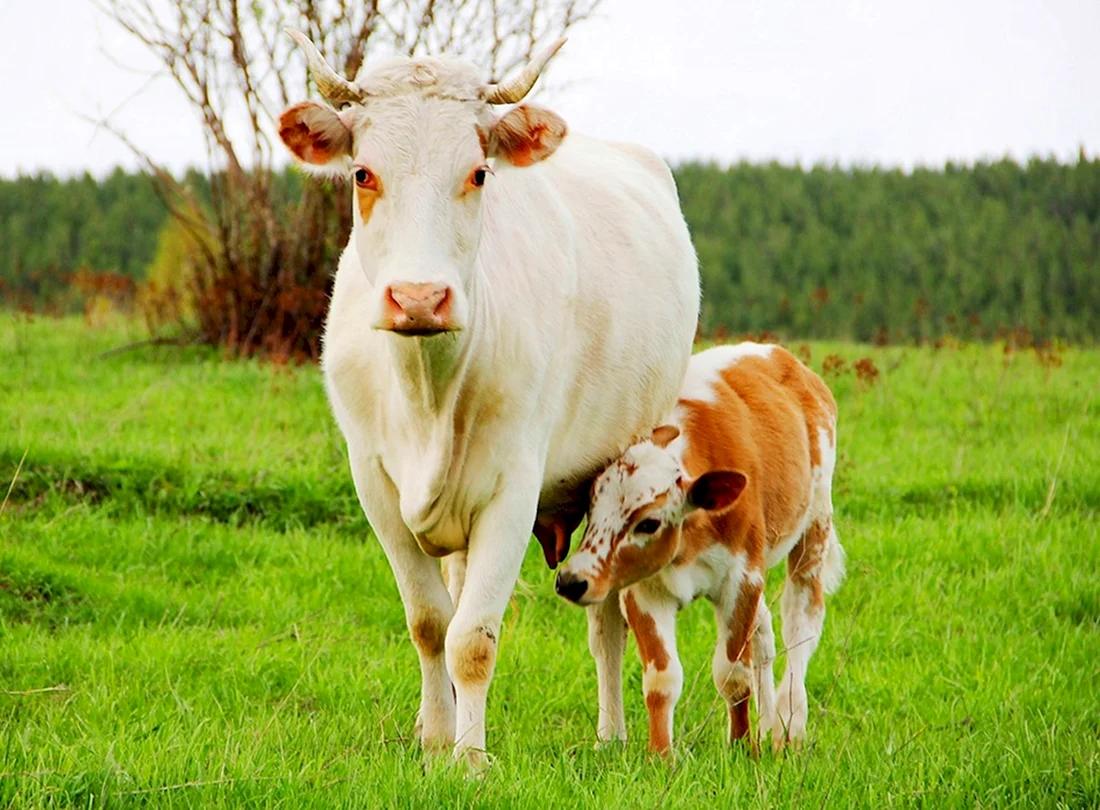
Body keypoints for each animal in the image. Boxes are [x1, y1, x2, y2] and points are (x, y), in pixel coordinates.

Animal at [277, 31, 699, 766]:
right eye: (362, 174)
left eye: (478, 173)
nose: (420, 298)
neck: (427, 391)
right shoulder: (375, 482)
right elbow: (429, 622)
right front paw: (435, 741)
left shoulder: (513, 486)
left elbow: (473, 639)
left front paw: (469, 760)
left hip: (625, 475)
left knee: (607, 621)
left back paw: (612, 734)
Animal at [554, 343, 845, 755]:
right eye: (592, 505)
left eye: (648, 522)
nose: (570, 580)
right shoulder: (644, 589)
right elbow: (661, 678)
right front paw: (661, 755)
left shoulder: (741, 579)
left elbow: (733, 673)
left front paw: (741, 746)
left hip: (814, 526)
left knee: (800, 625)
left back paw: (789, 724)